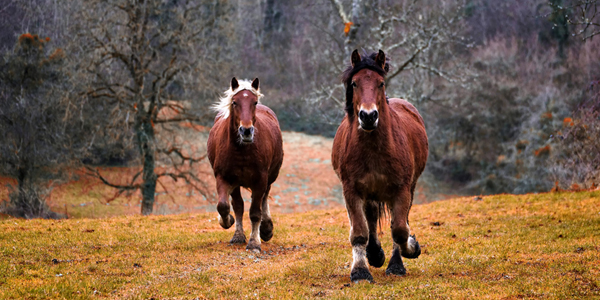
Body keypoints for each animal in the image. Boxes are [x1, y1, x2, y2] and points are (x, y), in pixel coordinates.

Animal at [207, 78, 284, 253]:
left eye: (254, 102)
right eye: (235, 102)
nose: (246, 131)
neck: (241, 150)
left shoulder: (260, 180)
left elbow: (255, 212)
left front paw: (254, 242)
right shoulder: (224, 178)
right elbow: (225, 206)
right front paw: (228, 223)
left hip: (270, 177)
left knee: (264, 198)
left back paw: (266, 228)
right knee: (238, 205)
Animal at [332, 49, 426, 282]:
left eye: (381, 83)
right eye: (354, 83)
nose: (368, 116)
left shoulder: (401, 190)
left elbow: (400, 229)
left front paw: (410, 250)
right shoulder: (352, 191)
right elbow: (359, 232)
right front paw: (360, 271)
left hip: (407, 189)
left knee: (397, 221)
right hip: (370, 193)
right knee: (372, 219)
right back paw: (374, 254)